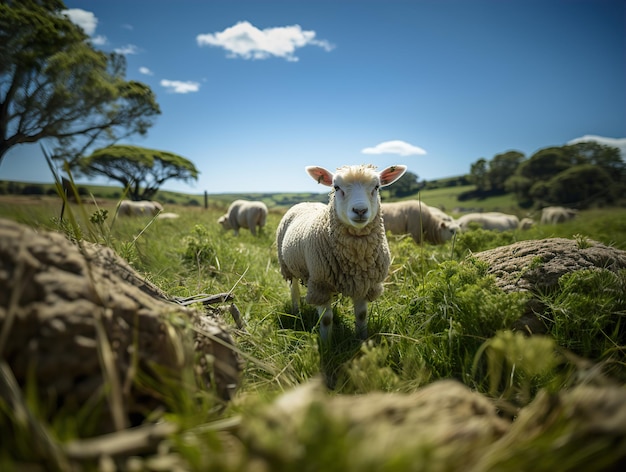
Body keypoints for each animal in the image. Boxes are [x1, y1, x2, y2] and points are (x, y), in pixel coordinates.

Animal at [276, 164, 404, 342]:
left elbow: (362, 315)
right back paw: (296, 312)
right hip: (288, 265)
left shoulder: (365, 284)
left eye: (377, 187)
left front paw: (362, 340)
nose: (360, 210)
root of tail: (306, 202)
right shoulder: (320, 283)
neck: (356, 257)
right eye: (336, 187)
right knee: (294, 290)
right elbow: (326, 318)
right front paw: (326, 343)